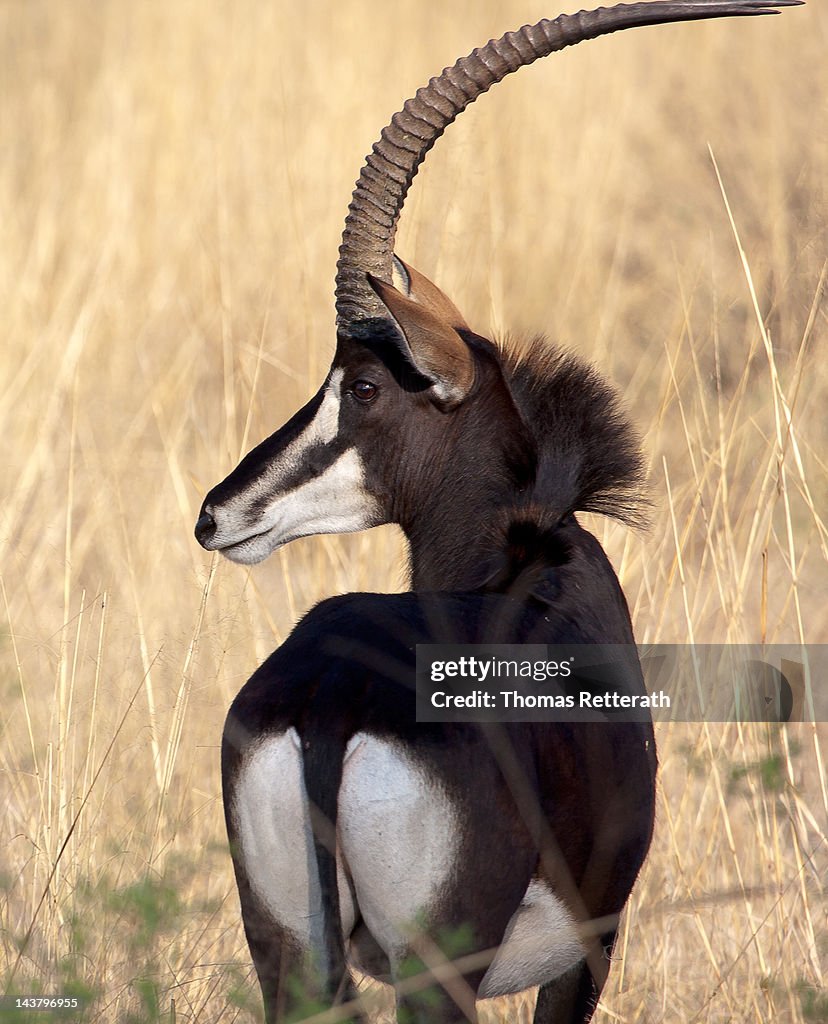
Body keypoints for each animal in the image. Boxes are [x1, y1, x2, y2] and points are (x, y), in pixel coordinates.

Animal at [195, 2, 801, 1021]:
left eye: (362, 386)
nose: (217, 513)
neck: (533, 557)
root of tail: (330, 699)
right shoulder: (590, 947)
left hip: (289, 953)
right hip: (438, 969)